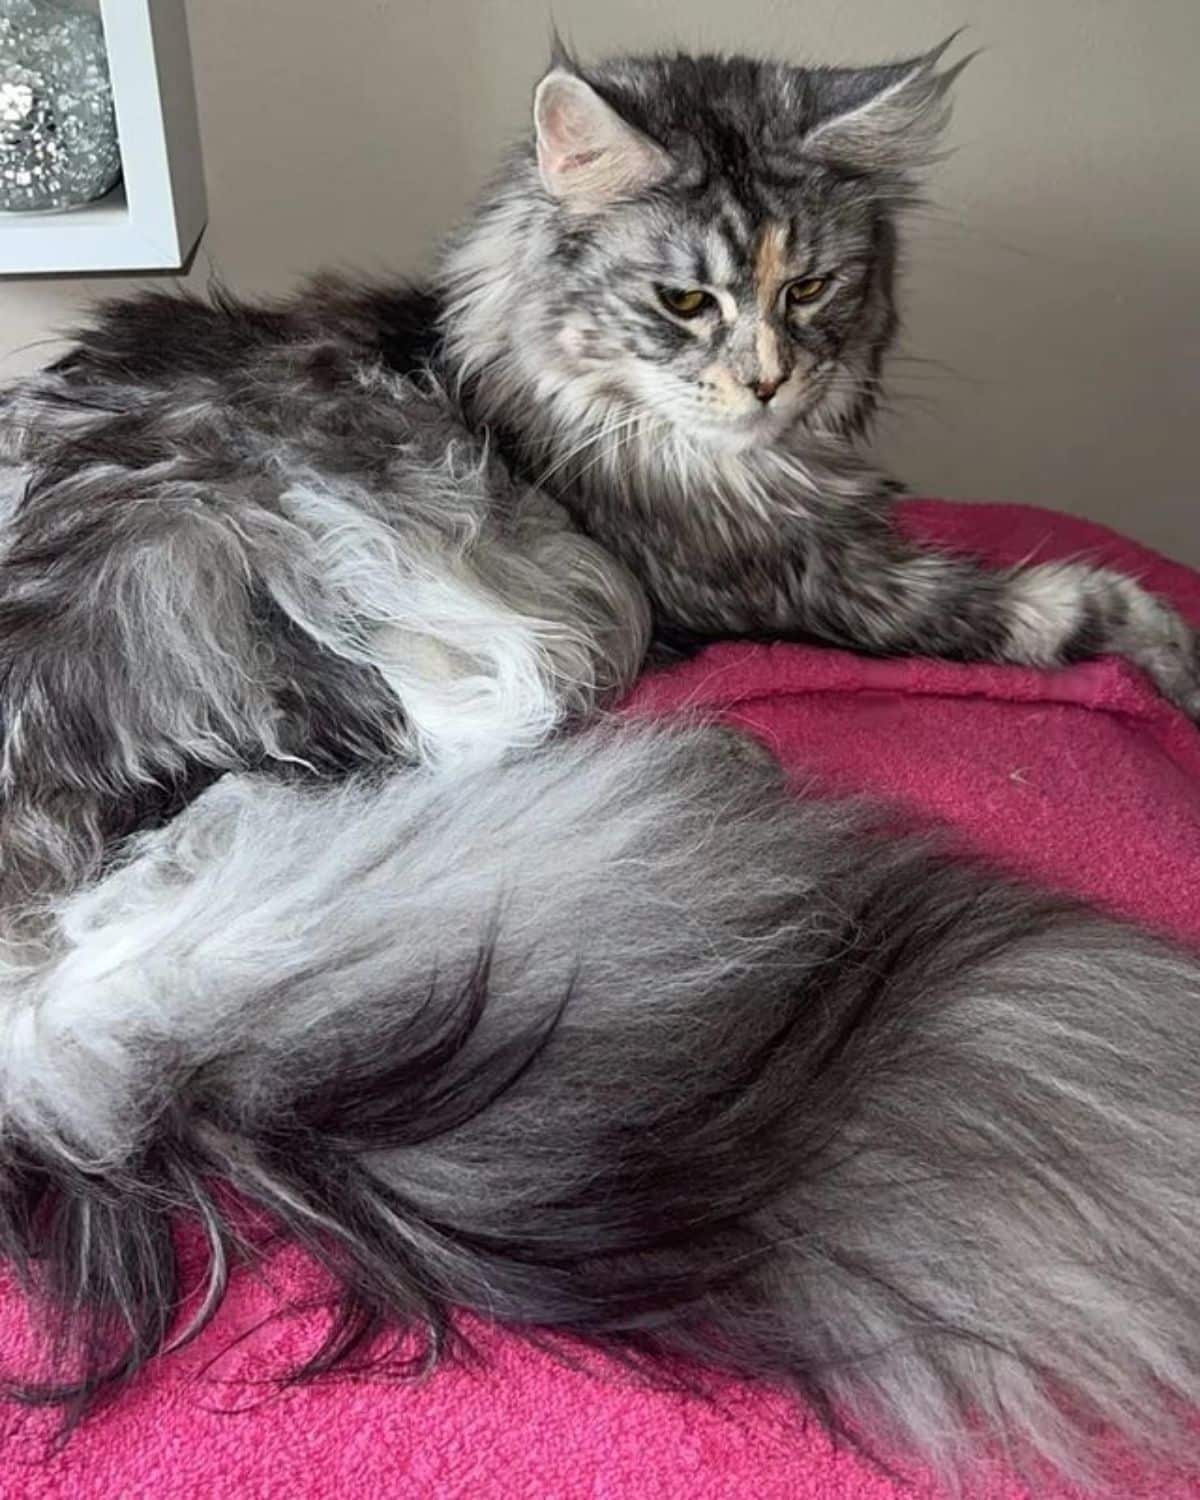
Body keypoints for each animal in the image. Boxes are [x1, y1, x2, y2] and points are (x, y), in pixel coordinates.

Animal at [2, 41, 1200, 1494]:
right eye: (686, 301)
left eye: (812, 287)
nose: (770, 383)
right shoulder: (821, 585)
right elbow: (1078, 603)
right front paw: (1182, 662)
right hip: (347, 570)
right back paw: (705, 751)